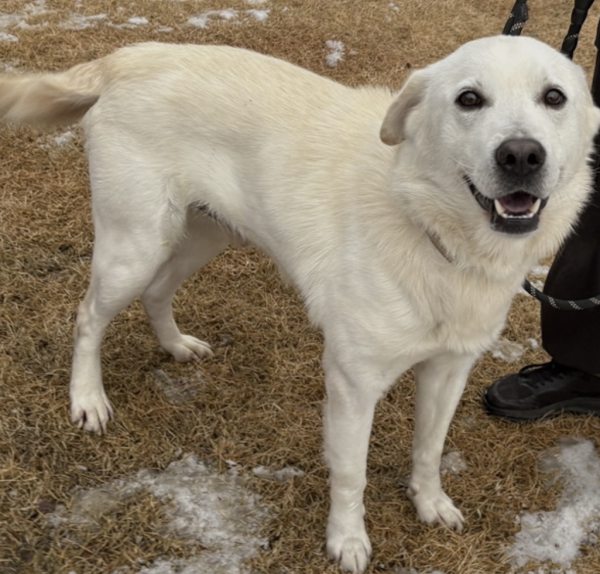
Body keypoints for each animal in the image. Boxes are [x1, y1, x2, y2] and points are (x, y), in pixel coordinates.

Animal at [0, 38, 596, 572]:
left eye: (554, 97)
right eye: (469, 99)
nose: (521, 155)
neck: (432, 230)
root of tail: (128, 57)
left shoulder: (448, 369)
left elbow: (428, 450)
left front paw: (430, 505)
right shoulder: (352, 382)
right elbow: (351, 473)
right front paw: (347, 542)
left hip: (203, 235)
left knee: (157, 292)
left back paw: (175, 346)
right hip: (136, 244)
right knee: (88, 317)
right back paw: (88, 399)